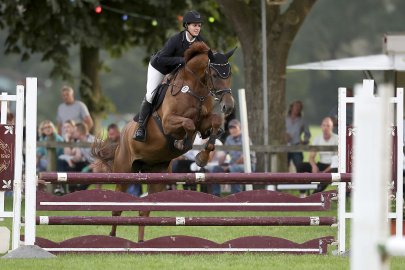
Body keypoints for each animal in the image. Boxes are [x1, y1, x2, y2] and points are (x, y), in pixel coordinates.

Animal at [92, 42, 235, 243]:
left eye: (229, 74)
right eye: (214, 75)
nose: (228, 106)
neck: (195, 90)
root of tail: (120, 141)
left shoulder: (205, 124)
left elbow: (215, 127)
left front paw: (202, 157)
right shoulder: (169, 122)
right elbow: (188, 124)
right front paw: (181, 144)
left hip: (156, 174)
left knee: (144, 211)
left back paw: (141, 243)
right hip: (124, 172)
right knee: (117, 210)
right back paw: (112, 238)